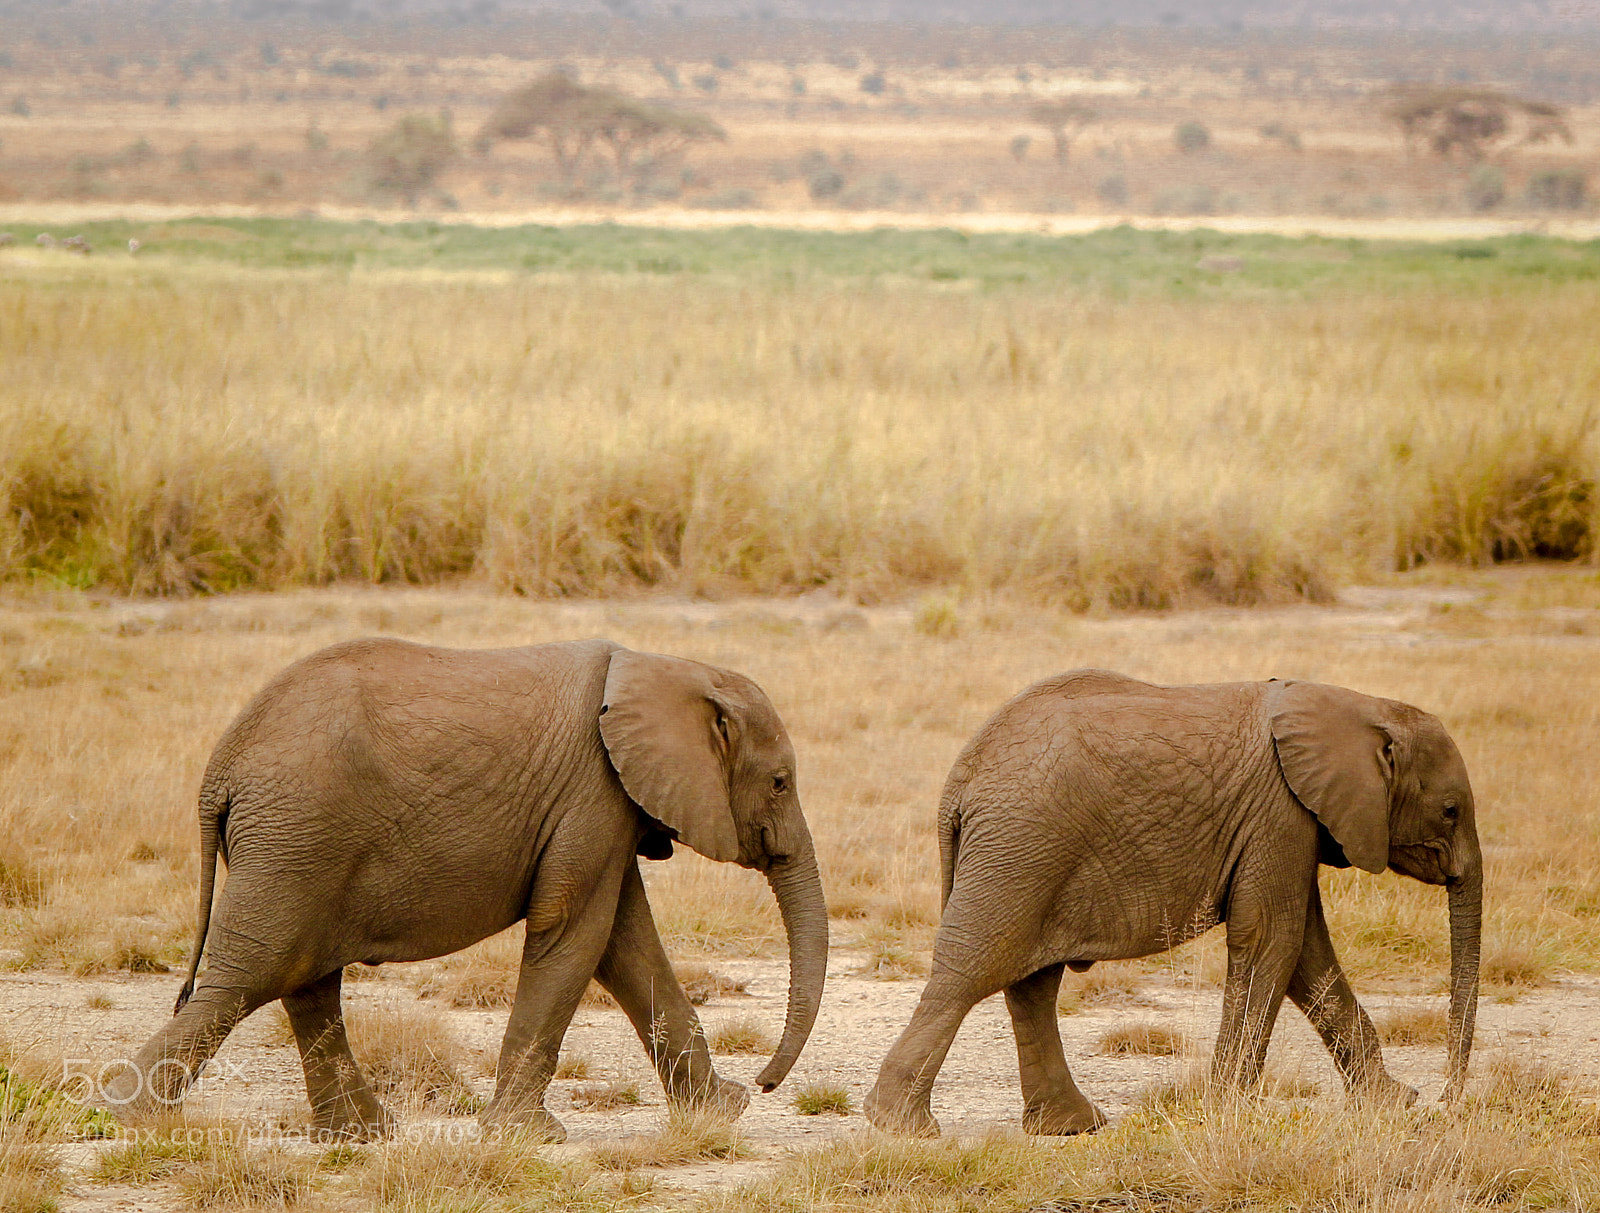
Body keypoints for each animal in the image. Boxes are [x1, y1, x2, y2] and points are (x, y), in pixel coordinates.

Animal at [102, 637, 827, 1142]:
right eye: (780, 783)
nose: (765, 1083)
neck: (664, 666)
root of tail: (219, 770)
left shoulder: (607, 805)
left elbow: (625, 943)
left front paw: (721, 1111)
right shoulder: (593, 792)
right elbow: (576, 932)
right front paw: (529, 1138)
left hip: (298, 846)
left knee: (304, 982)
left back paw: (363, 1137)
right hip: (296, 837)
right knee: (246, 980)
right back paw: (123, 1116)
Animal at [864, 670, 1481, 1138]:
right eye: (1450, 811)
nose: (1447, 1102)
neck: (1359, 706)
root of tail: (959, 781)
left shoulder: (1292, 820)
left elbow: (1307, 954)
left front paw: (1392, 1103)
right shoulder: (1280, 813)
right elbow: (1273, 940)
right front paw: (1230, 1110)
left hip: (1028, 852)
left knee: (1030, 983)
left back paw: (1071, 1126)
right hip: (1021, 846)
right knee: (972, 969)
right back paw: (901, 1126)